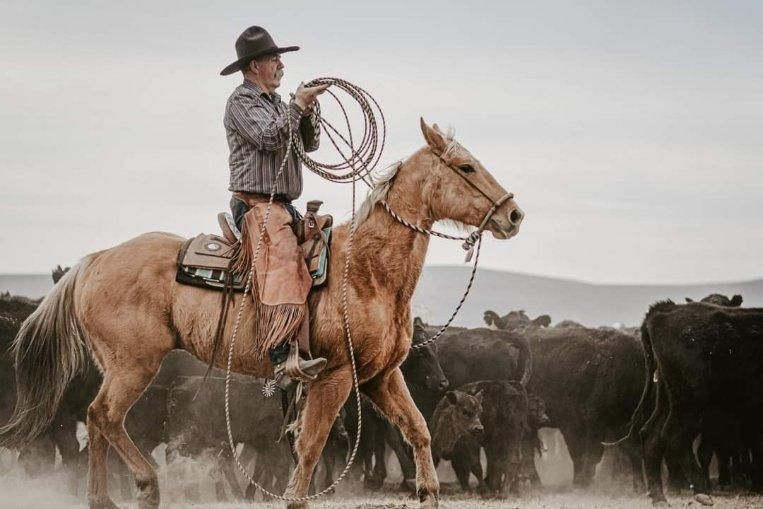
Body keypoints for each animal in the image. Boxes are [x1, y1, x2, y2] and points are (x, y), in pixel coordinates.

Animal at [1, 119, 524, 509]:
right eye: (466, 166)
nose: (514, 215)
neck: (367, 270)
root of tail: (95, 260)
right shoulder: (334, 375)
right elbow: (310, 445)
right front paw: (295, 498)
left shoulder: (380, 376)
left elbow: (418, 430)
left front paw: (428, 492)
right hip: (133, 364)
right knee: (104, 416)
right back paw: (143, 485)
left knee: (97, 420)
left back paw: (105, 498)